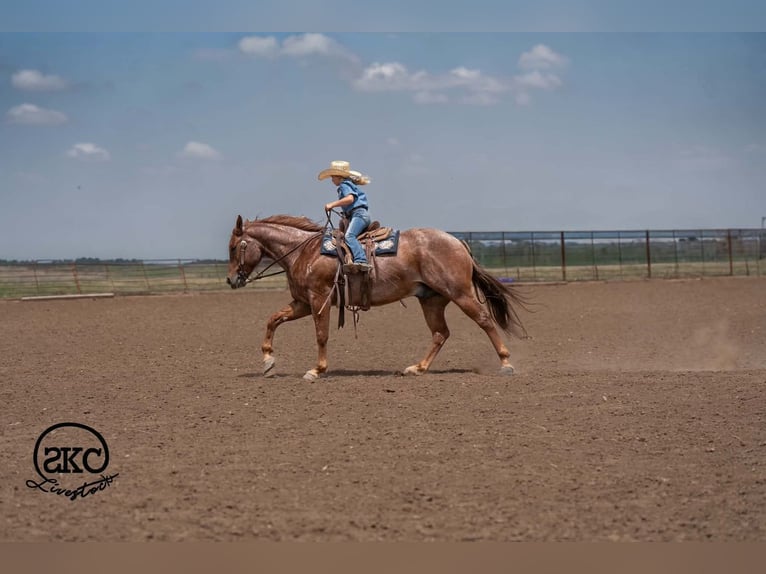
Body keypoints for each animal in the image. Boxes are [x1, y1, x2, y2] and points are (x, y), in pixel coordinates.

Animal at [226, 214, 528, 381]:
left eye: (233, 247)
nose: (231, 280)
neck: (304, 251)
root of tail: (458, 242)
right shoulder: (302, 302)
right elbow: (273, 320)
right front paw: (268, 361)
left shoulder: (319, 299)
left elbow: (321, 335)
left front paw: (317, 370)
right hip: (431, 300)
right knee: (440, 333)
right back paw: (417, 368)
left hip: (460, 293)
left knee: (484, 320)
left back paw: (506, 363)